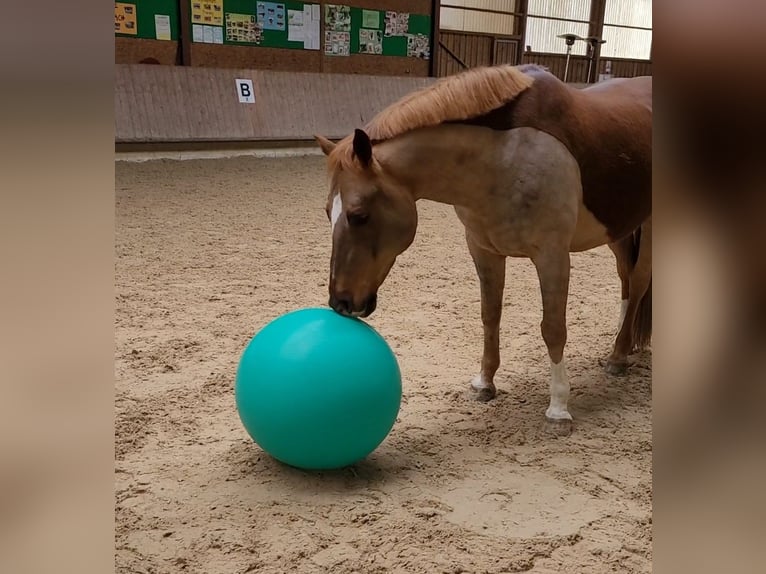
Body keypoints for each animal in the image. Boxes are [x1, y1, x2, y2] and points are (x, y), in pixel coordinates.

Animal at [316, 64, 652, 432]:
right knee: (626, 279)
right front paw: (484, 383)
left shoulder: (552, 256)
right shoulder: (483, 250)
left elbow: (552, 328)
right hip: (618, 228)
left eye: (359, 215)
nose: (341, 302)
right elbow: (490, 315)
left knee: (639, 282)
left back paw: (619, 356)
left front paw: (558, 407)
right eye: (327, 212)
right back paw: (623, 342)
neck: (504, 156)